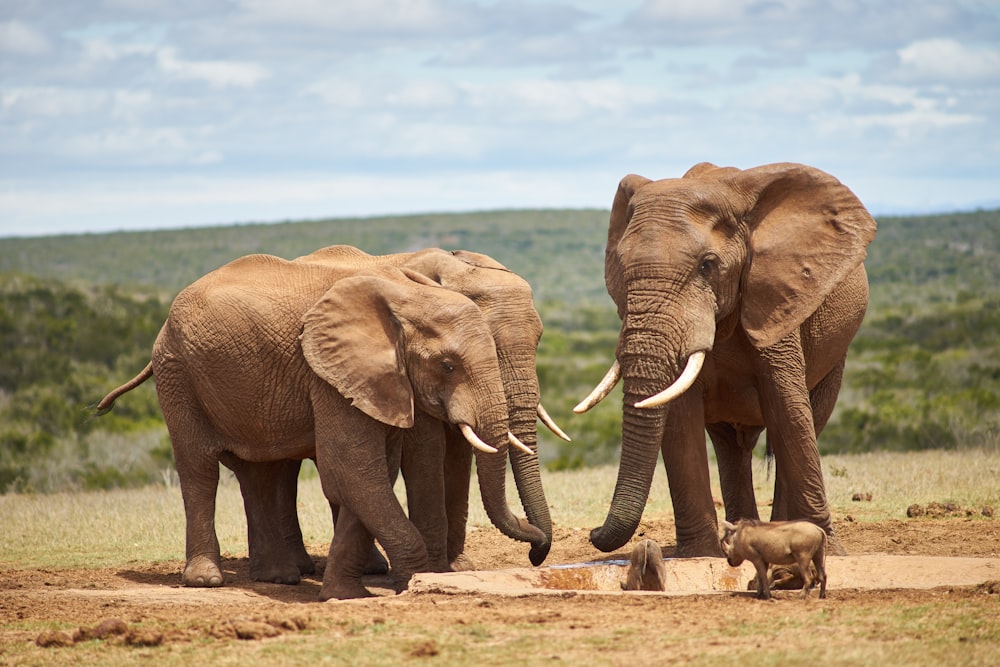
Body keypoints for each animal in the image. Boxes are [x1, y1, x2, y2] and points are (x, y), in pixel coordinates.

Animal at [97, 258, 544, 600]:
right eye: (448, 365)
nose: (537, 549)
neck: (408, 293)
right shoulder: (331, 374)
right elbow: (361, 468)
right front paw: (420, 579)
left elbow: (368, 474)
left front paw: (350, 593)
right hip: (178, 372)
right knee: (199, 469)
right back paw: (207, 579)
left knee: (263, 472)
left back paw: (281, 576)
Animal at [239, 248, 572, 580]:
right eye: (489, 343)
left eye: (539, 339)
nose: (536, 553)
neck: (451, 266)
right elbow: (427, 450)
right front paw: (437, 571)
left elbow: (459, 455)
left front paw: (458, 567)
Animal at [580, 162, 876, 560]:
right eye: (621, 266)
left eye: (707, 265)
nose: (594, 533)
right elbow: (681, 419)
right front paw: (700, 554)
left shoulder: (775, 300)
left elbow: (788, 409)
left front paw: (826, 547)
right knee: (731, 446)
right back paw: (741, 537)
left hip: (834, 350)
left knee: (809, 418)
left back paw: (779, 531)